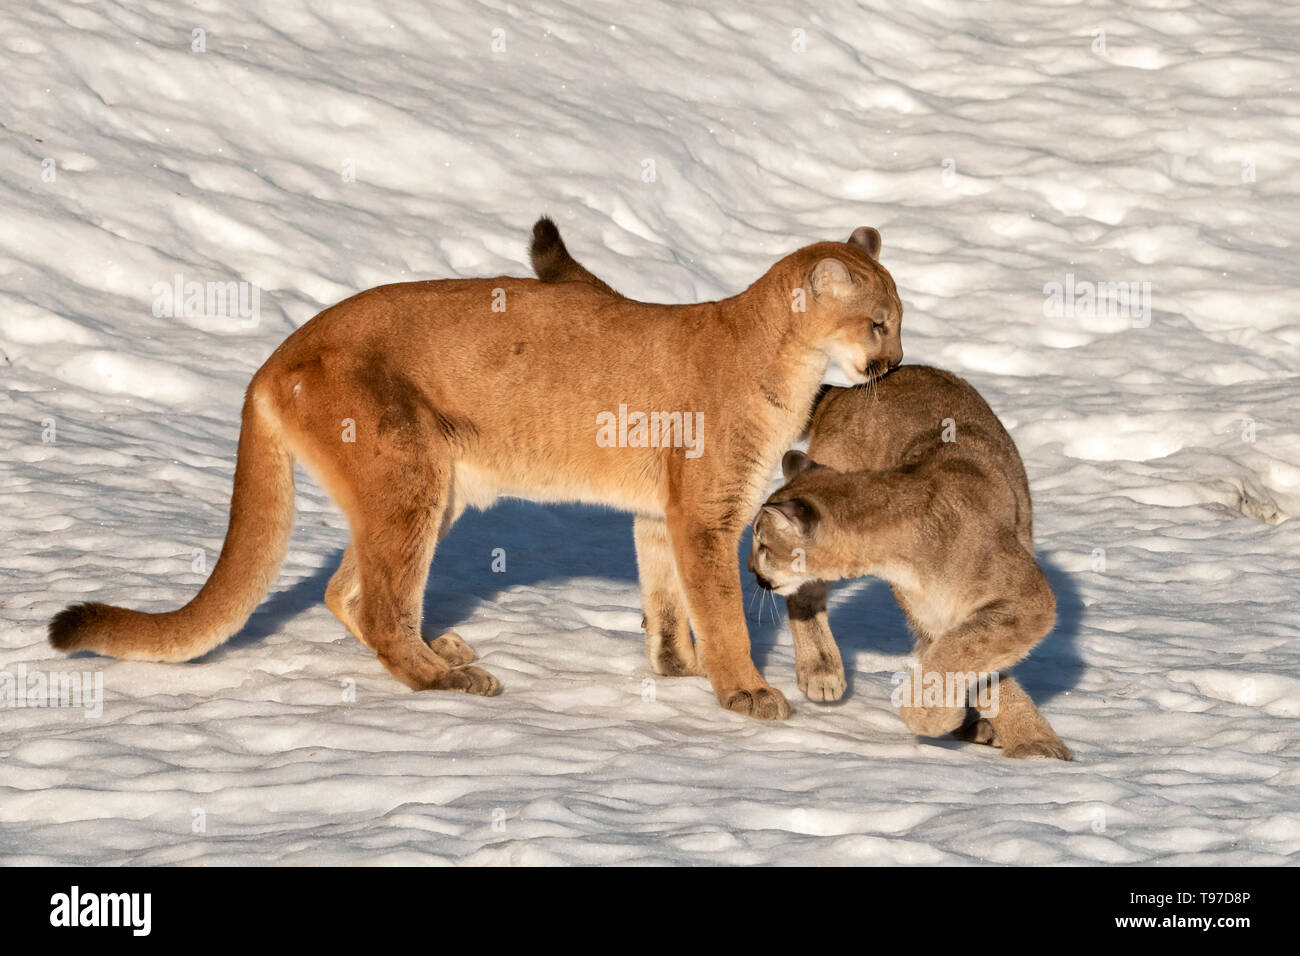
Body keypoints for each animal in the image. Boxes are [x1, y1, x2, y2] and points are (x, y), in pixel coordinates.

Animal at [525, 221, 1066, 759]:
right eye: (879, 323)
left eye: (763, 545)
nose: (895, 360)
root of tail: (846, 395)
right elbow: (970, 662)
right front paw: (1004, 734)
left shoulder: (1009, 602)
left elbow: (978, 662)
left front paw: (1020, 737)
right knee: (802, 599)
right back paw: (823, 672)